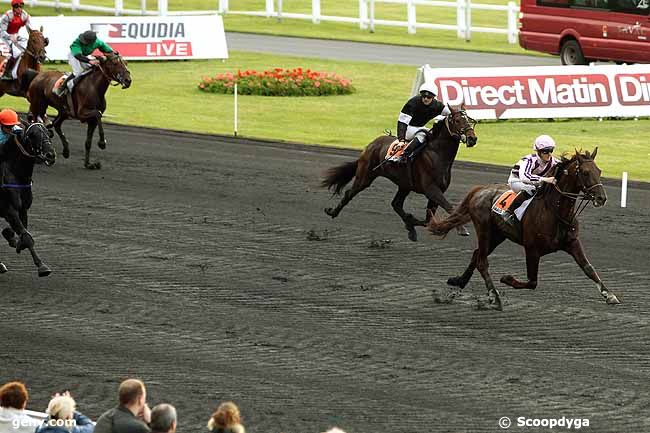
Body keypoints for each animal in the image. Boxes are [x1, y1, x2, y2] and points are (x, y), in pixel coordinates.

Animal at [0, 120, 55, 276]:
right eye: (32, 135)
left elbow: (23, 234)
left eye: (49, 134)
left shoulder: (23, 209)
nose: (50, 155)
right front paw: (42, 267)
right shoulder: (9, 209)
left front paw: (14, 240)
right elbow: (27, 237)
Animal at [320, 104, 476, 240]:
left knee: (396, 204)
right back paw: (332, 212)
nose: (472, 138)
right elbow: (449, 207)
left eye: (470, 120)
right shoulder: (431, 189)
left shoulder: (438, 190)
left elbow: (428, 219)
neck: (437, 154)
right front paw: (462, 229)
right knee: (349, 193)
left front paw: (413, 223)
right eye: (457, 120)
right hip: (365, 176)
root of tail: (370, 145)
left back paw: (411, 228)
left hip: (404, 185)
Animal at [428, 149, 620, 310]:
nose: (602, 198)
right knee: (482, 262)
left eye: (599, 171)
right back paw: (494, 297)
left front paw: (609, 295)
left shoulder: (572, 242)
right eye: (586, 173)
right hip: (484, 229)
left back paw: (458, 283)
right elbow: (532, 282)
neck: (556, 211)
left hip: (498, 235)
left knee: (477, 255)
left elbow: (589, 269)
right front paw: (506, 278)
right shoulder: (532, 248)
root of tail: (480, 190)